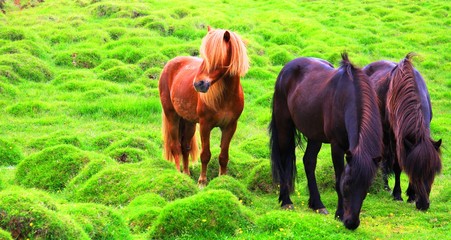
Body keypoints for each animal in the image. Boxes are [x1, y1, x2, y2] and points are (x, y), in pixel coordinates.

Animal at [160, 26, 251, 188]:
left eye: (217, 57)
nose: (198, 84)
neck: (225, 97)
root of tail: (169, 65)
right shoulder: (205, 125)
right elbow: (205, 154)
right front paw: (202, 181)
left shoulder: (230, 126)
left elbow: (223, 155)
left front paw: (223, 179)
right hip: (172, 116)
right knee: (175, 146)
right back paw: (179, 175)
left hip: (188, 121)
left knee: (185, 146)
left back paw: (186, 174)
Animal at [270, 53, 384, 230]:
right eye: (347, 185)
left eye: (366, 188)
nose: (352, 223)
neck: (349, 98)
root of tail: (287, 68)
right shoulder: (337, 146)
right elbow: (337, 179)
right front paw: (339, 214)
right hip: (284, 125)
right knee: (283, 159)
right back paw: (286, 201)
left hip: (314, 135)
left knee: (309, 161)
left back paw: (317, 205)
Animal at [362, 53, 444, 210]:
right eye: (415, 173)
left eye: (432, 172)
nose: (423, 205)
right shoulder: (395, 137)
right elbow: (398, 166)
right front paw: (397, 195)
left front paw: (411, 195)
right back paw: (385, 186)